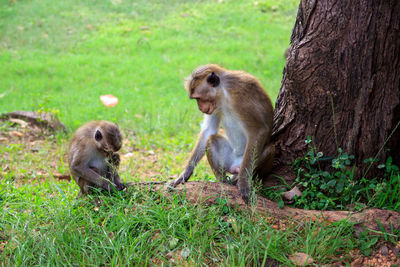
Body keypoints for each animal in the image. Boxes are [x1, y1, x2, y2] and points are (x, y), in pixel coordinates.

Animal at [169, 64, 276, 203]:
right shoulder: (215, 106)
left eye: (198, 98)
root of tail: (235, 165)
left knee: (270, 148)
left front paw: (244, 183)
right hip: (229, 160)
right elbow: (208, 131)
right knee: (212, 139)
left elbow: (259, 130)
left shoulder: (240, 97)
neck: (223, 93)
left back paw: (238, 179)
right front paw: (184, 174)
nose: (200, 108)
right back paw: (223, 181)